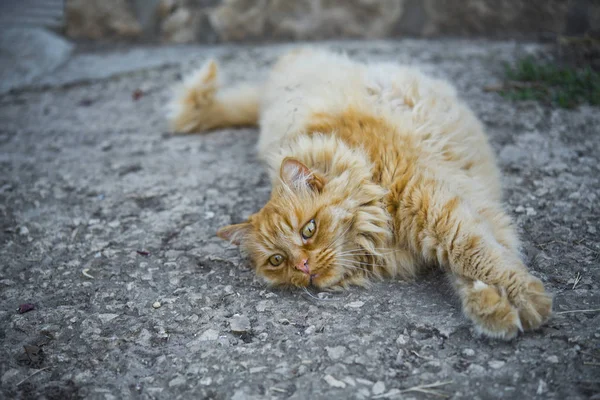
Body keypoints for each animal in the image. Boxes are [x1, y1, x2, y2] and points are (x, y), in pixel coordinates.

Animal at [166, 48, 552, 340]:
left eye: (308, 229)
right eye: (276, 260)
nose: (303, 266)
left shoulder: (434, 204)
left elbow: (475, 254)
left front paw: (524, 299)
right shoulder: (451, 209)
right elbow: (469, 264)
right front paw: (491, 307)